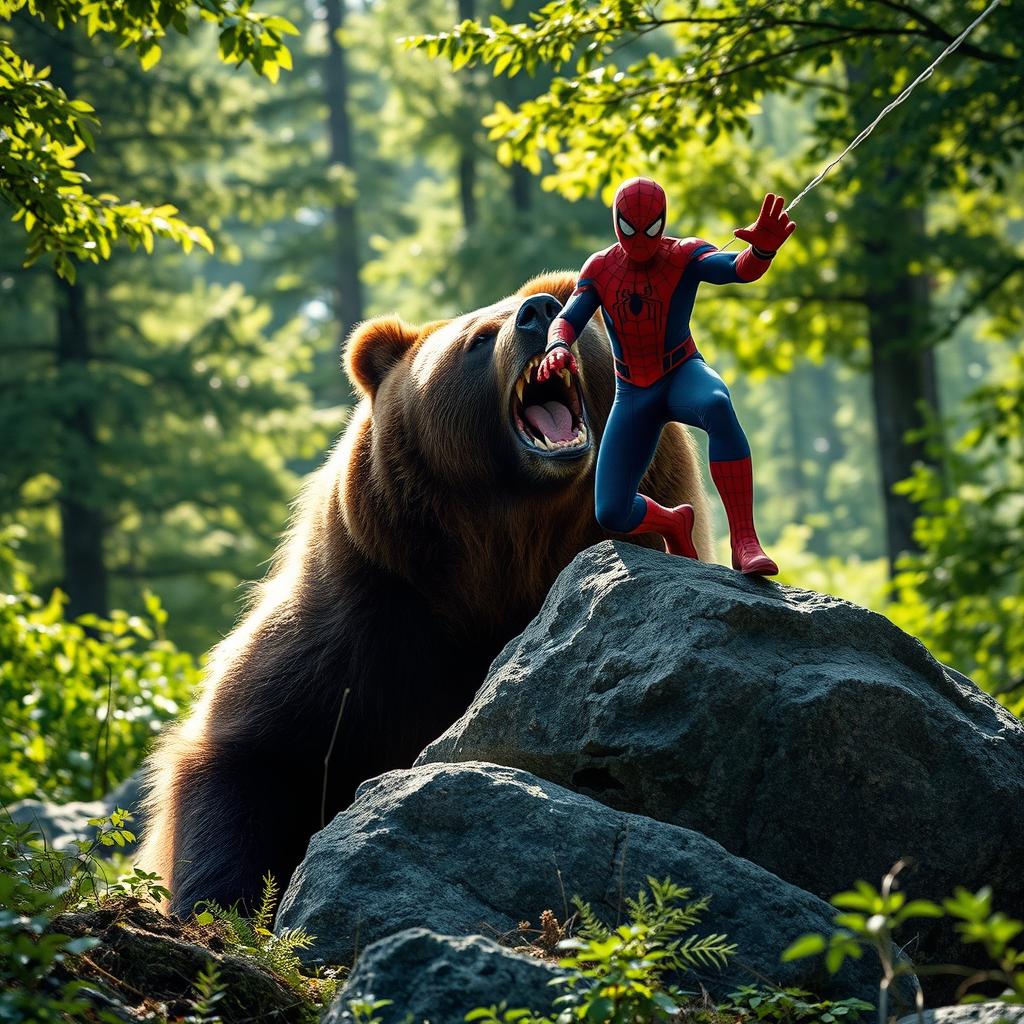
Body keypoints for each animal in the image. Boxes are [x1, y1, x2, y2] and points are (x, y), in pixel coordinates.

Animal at [140, 270, 712, 913]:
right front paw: (218, 900)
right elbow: (249, 754)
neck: (502, 556)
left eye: (564, 309)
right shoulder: (359, 624)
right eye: (479, 338)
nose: (538, 313)